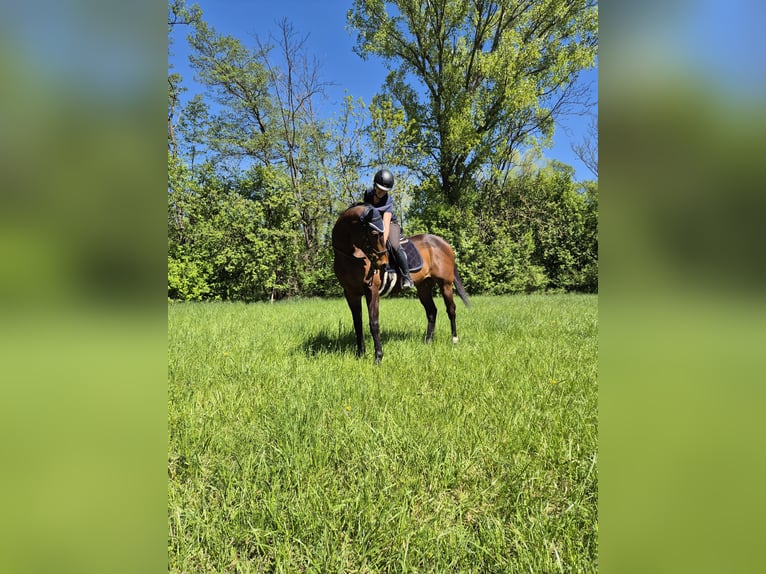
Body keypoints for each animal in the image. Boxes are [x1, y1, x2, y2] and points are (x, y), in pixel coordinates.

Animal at [332, 203, 471, 364]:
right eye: (374, 233)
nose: (383, 263)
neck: (352, 257)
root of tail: (444, 243)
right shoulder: (351, 293)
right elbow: (357, 323)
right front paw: (360, 354)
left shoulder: (372, 290)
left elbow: (374, 323)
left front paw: (378, 357)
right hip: (424, 287)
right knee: (431, 311)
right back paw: (428, 341)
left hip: (445, 284)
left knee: (451, 310)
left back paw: (454, 339)